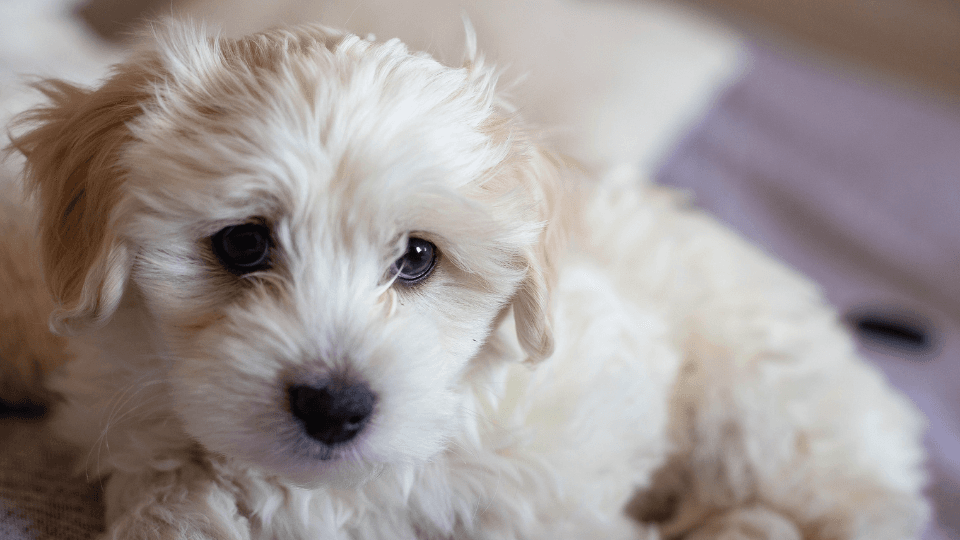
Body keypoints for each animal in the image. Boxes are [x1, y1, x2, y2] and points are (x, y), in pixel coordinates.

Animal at [1, 22, 928, 540]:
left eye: (418, 257)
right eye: (242, 244)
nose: (335, 408)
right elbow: (173, 496)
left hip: (764, 414)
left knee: (854, 510)